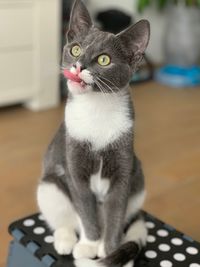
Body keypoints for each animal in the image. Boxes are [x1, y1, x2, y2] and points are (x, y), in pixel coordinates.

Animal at [36, 1, 150, 266]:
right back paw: (66, 241)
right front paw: (89, 245)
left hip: (139, 181)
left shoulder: (123, 169)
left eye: (104, 59)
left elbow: (116, 213)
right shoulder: (74, 167)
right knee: (63, 219)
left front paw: (110, 250)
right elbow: (85, 210)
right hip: (49, 186)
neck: (97, 109)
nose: (78, 66)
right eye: (75, 49)